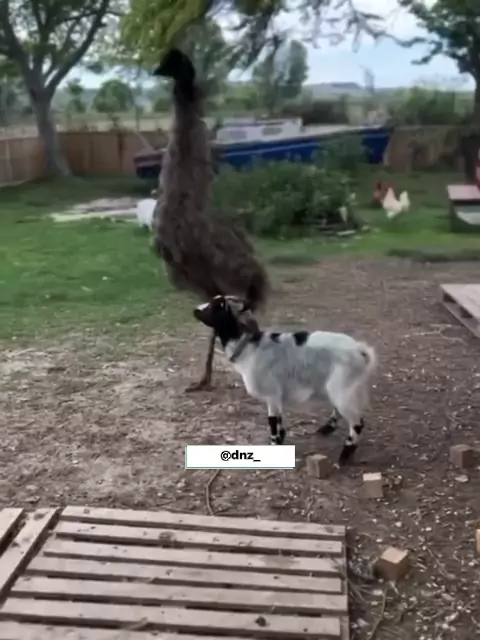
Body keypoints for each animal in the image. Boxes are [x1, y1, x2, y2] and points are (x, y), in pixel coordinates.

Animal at [193, 294, 377, 465]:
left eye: (216, 306)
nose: (195, 310)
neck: (250, 349)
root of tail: (361, 350)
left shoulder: (271, 393)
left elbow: (273, 421)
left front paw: (274, 443)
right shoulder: (276, 395)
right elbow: (279, 418)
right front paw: (281, 439)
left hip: (343, 385)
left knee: (357, 422)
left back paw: (344, 456)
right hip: (342, 387)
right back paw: (327, 429)